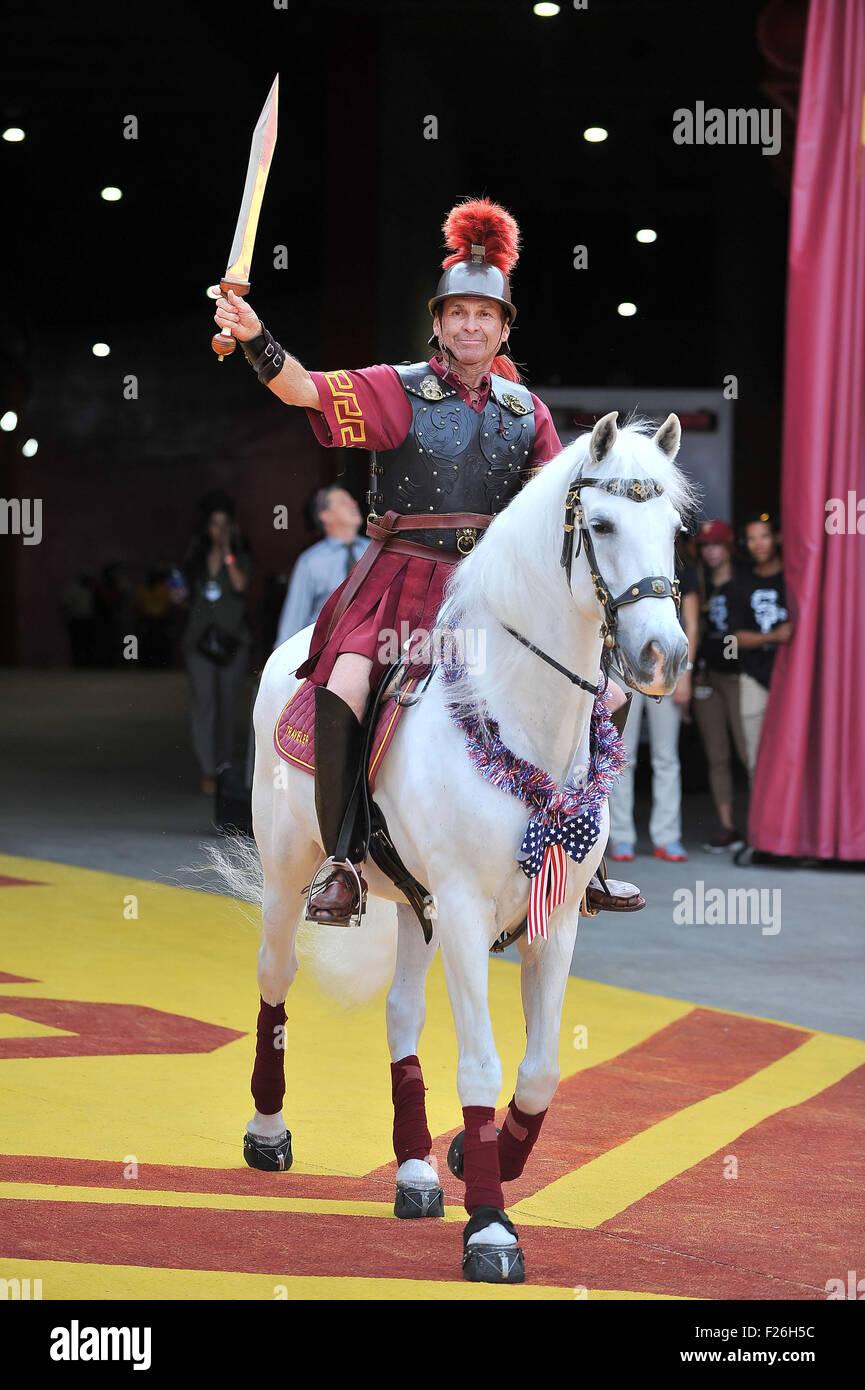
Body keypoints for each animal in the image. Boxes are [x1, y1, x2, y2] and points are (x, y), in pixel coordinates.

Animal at [240, 408, 695, 1278]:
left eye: (675, 530)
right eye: (603, 525)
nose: (663, 655)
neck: (522, 717)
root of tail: (293, 647)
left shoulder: (553, 917)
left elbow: (541, 1069)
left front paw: (480, 1159)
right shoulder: (460, 907)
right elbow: (481, 1062)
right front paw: (489, 1225)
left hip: (413, 906)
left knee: (401, 1013)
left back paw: (415, 1169)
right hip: (291, 875)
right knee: (276, 982)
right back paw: (268, 1133)